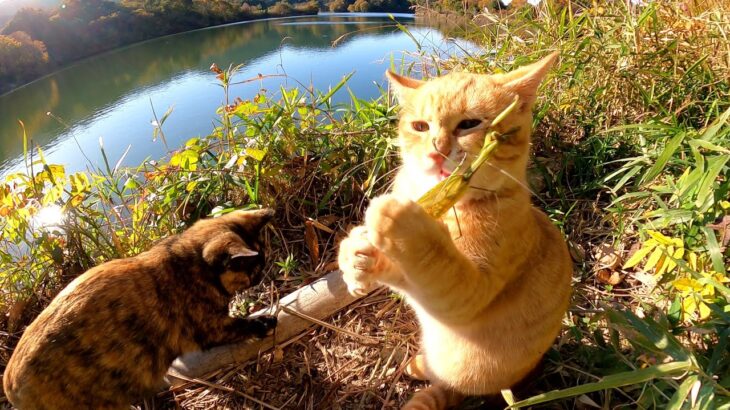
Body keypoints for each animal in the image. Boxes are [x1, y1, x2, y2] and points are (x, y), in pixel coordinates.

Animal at [4, 210, 278, 408]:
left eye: (263, 262)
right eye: (254, 268)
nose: (262, 275)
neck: (190, 267)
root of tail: (8, 385)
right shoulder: (210, 327)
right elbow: (241, 324)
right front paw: (265, 321)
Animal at [338, 52, 572, 408]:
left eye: (469, 124)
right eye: (420, 126)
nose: (437, 151)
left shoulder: (467, 294)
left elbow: (434, 259)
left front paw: (395, 216)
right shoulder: (410, 280)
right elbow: (391, 266)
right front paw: (356, 258)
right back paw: (417, 364)